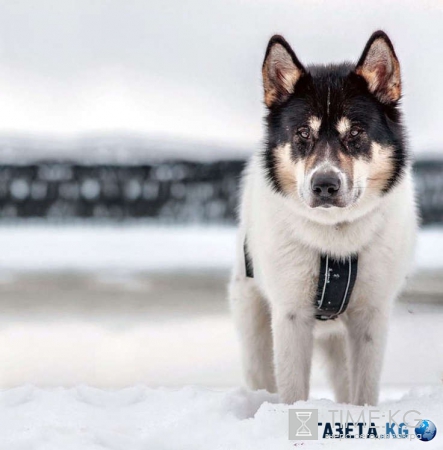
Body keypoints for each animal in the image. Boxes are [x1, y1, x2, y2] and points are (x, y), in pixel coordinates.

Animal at [231, 29, 418, 406]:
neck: (336, 239)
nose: (325, 185)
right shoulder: (290, 315)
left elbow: (364, 393)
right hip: (254, 327)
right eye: (304, 132)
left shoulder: (371, 316)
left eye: (355, 132)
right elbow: (291, 391)